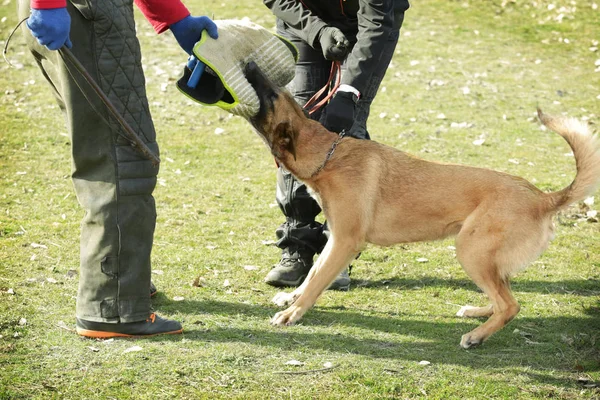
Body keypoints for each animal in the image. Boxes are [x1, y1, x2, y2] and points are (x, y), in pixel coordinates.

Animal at [244, 61, 600, 346]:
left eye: (273, 96)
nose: (250, 64)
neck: (328, 157)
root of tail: (543, 197)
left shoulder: (345, 241)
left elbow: (317, 280)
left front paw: (293, 313)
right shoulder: (334, 240)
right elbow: (312, 273)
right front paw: (291, 298)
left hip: (470, 251)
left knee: (510, 304)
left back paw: (476, 336)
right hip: (485, 258)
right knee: (505, 297)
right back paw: (476, 312)